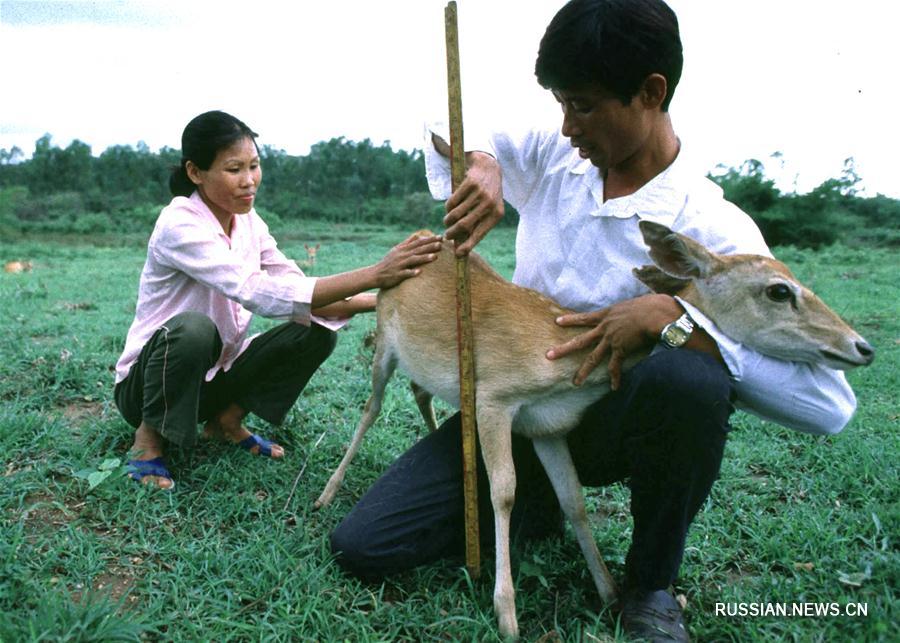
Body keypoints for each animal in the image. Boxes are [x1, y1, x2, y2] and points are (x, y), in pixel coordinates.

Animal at [314, 221, 872, 640]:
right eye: (779, 290)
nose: (861, 346)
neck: (562, 361)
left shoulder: (546, 426)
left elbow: (574, 499)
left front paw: (607, 591)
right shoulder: (495, 396)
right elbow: (503, 491)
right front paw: (506, 612)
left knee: (421, 392)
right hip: (384, 342)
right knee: (371, 407)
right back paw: (328, 492)